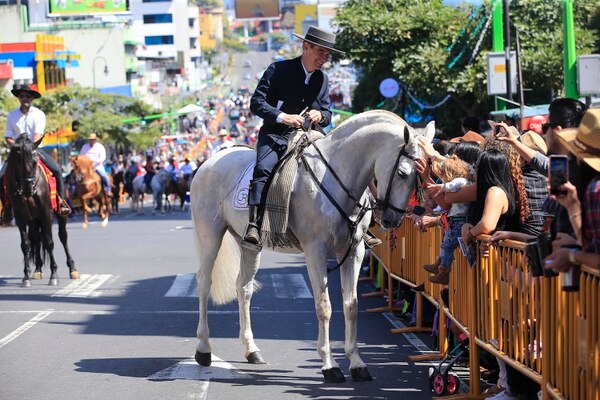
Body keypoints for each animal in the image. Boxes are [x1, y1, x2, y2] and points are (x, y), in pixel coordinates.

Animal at [5, 136, 79, 286]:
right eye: (18, 162)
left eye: (34, 163)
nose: (28, 189)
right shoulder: (21, 217)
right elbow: (26, 245)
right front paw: (26, 277)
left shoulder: (46, 213)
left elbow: (49, 242)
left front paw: (54, 275)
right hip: (33, 219)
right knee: (37, 238)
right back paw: (37, 270)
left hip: (59, 214)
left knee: (62, 236)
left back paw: (72, 269)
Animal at [192, 110, 432, 384]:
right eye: (402, 173)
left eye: (422, 175)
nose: (393, 220)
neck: (336, 177)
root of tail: (210, 162)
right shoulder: (315, 251)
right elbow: (324, 307)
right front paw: (330, 365)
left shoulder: (354, 252)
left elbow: (351, 306)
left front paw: (357, 363)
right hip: (210, 235)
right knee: (204, 283)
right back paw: (203, 349)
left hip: (249, 245)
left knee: (243, 288)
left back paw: (251, 350)